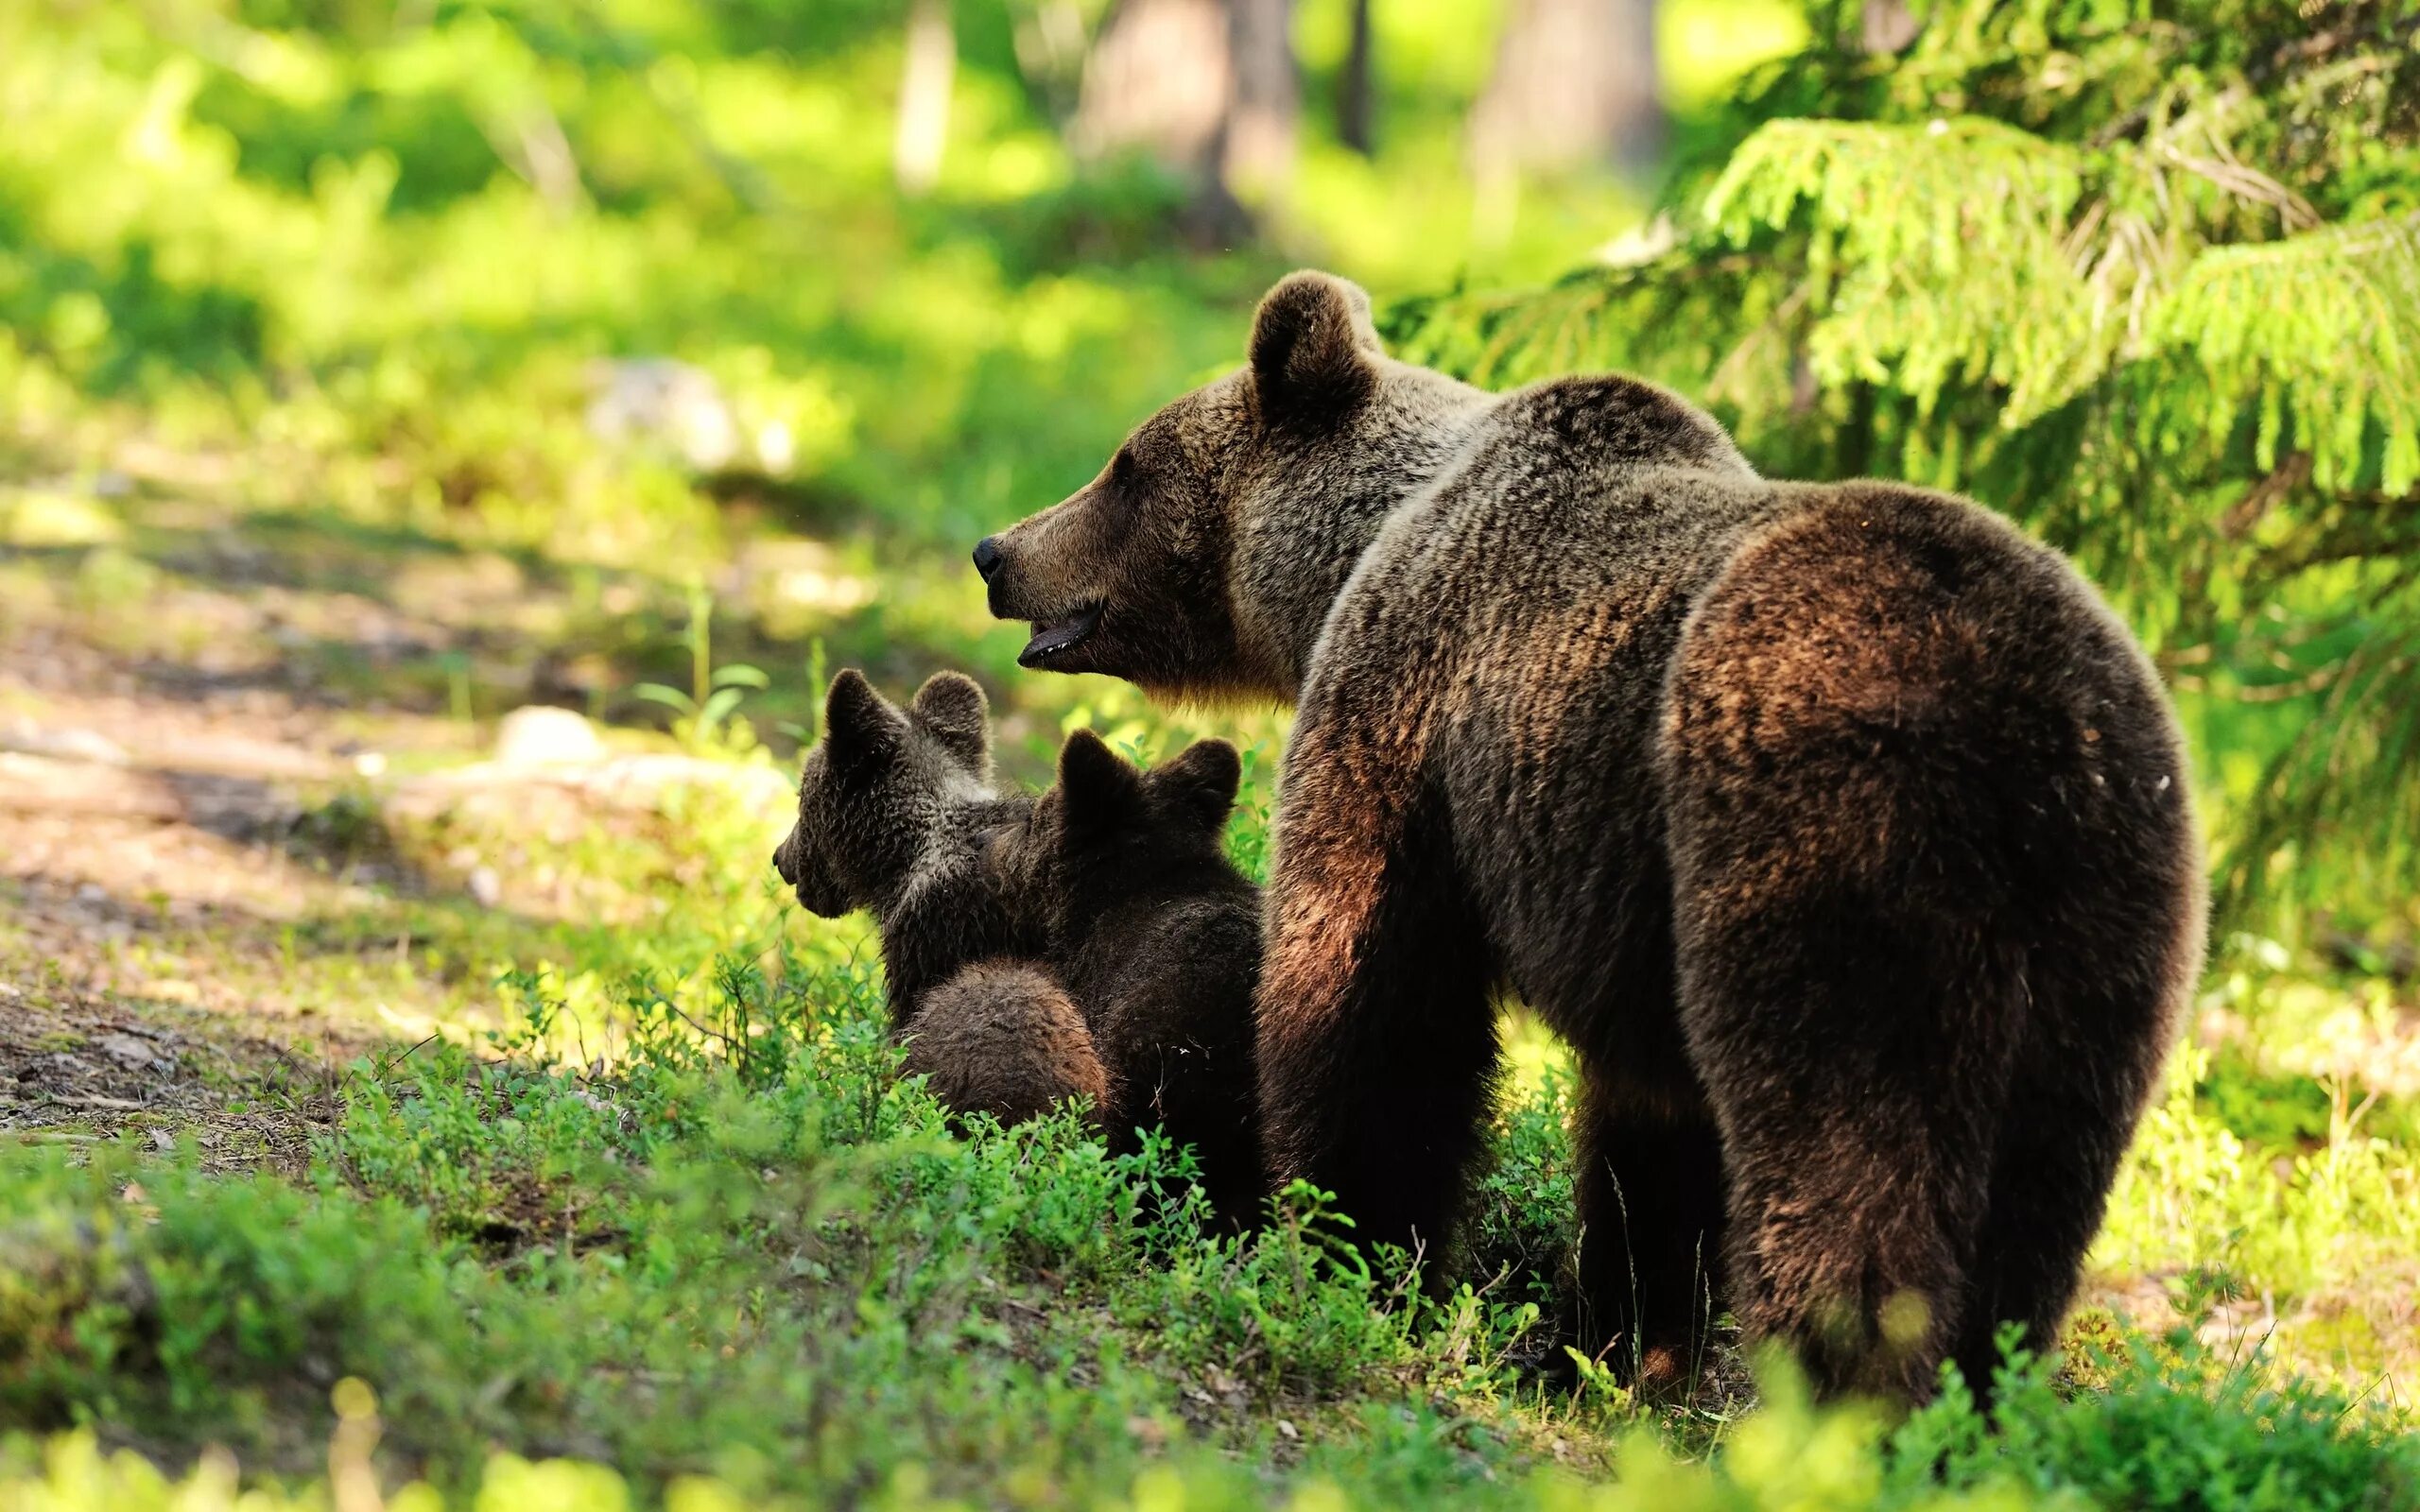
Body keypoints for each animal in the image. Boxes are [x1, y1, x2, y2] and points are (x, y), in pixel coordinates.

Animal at [973, 270, 2206, 1402]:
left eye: (1127, 464)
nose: (996, 549)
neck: (1353, 553)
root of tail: (2014, 722)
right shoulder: (1626, 903)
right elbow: (1648, 1131)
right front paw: (1611, 1342)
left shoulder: (1408, 716)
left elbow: (1374, 1007)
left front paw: (1351, 1252)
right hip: (2108, 920)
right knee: (2037, 1196)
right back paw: (1969, 1405)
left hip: (1833, 853)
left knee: (1851, 1157)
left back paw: (1837, 1401)